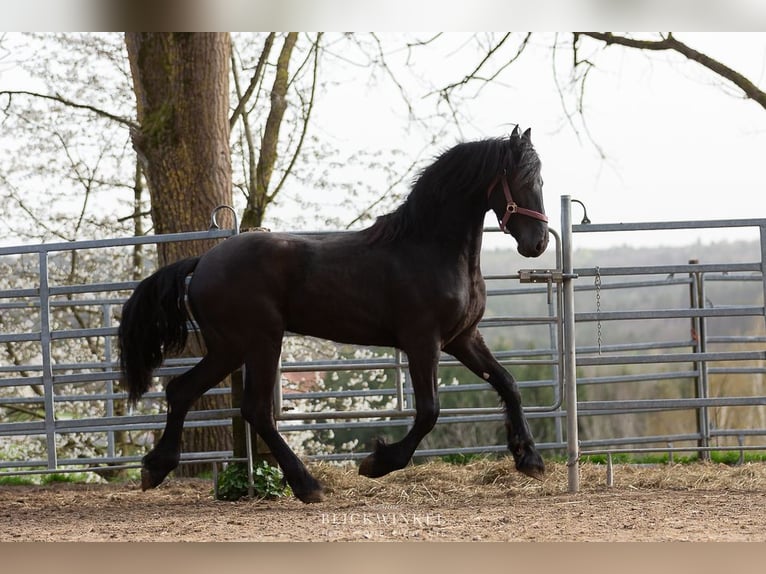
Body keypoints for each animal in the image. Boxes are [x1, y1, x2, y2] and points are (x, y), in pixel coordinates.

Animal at [118, 126, 549, 503]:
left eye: (540, 179)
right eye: (521, 178)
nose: (538, 243)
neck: (430, 248)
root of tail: (204, 262)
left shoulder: (463, 338)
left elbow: (508, 383)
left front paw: (530, 459)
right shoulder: (422, 342)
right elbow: (429, 411)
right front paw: (377, 463)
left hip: (229, 348)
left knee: (182, 390)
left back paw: (155, 468)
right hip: (258, 342)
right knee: (253, 409)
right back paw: (307, 485)